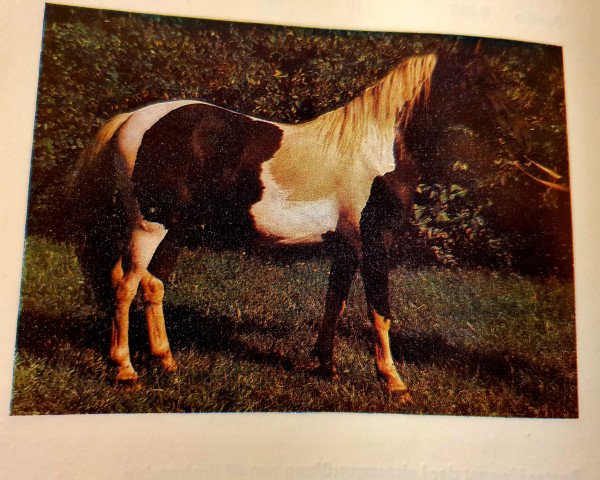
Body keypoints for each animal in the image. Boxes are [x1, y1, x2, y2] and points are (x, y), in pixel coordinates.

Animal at [70, 50, 540, 400]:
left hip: (177, 228)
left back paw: (166, 361)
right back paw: (125, 370)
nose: (523, 136)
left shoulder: (347, 246)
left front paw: (325, 366)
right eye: (483, 80)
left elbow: (336, 303)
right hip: (148, 227)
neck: (378, 150)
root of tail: (132, 119)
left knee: (152, 285)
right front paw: (393, 381)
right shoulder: (376, 243)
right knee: (125, 284)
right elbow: (380, 312)